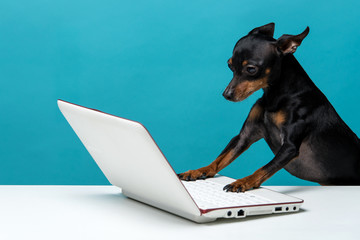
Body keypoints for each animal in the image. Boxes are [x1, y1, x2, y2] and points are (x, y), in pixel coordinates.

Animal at [178, 22, 360, 191]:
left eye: (251, 69)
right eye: (229, 65)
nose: (226, 94)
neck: (276, 97)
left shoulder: (289, 147)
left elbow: (264, 168)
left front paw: (243, 182)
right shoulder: (244, 136)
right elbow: (220, 159)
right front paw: (198, 171)